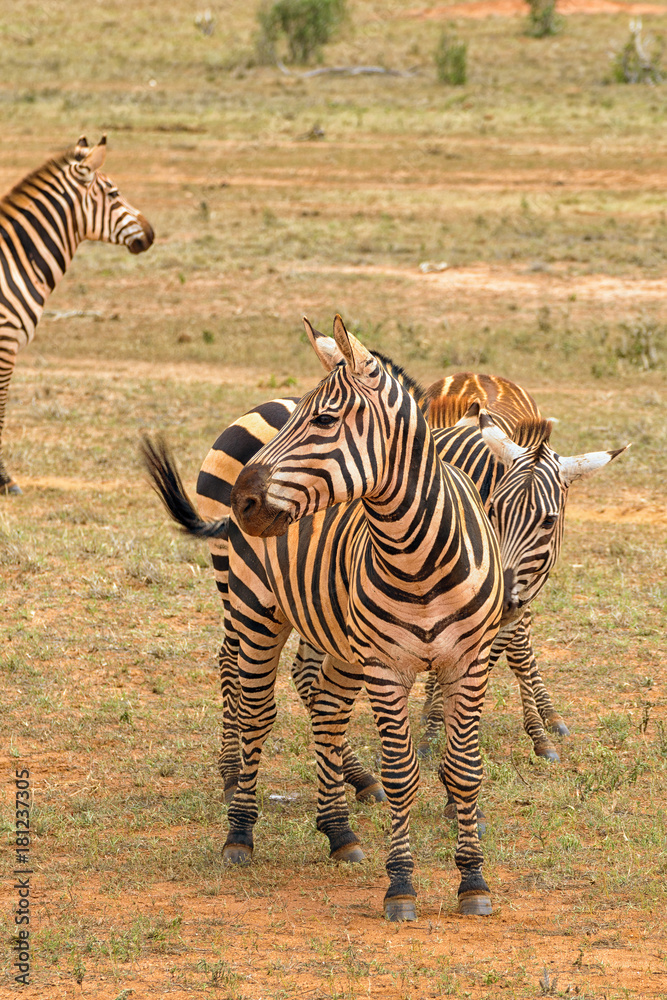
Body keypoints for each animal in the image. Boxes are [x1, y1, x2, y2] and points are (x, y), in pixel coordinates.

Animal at [143, 314, 504, 921]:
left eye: (326, 420)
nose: (242, 503)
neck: (420, 557)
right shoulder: (386, 667)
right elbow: (401, 774)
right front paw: (401, 885)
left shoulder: (468, 664)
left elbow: (463, 769)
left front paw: (473, 881)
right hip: (253, 606)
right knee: (253, 708)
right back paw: (239, 828)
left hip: (331, 628)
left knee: (328, 709)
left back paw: (339, 830)